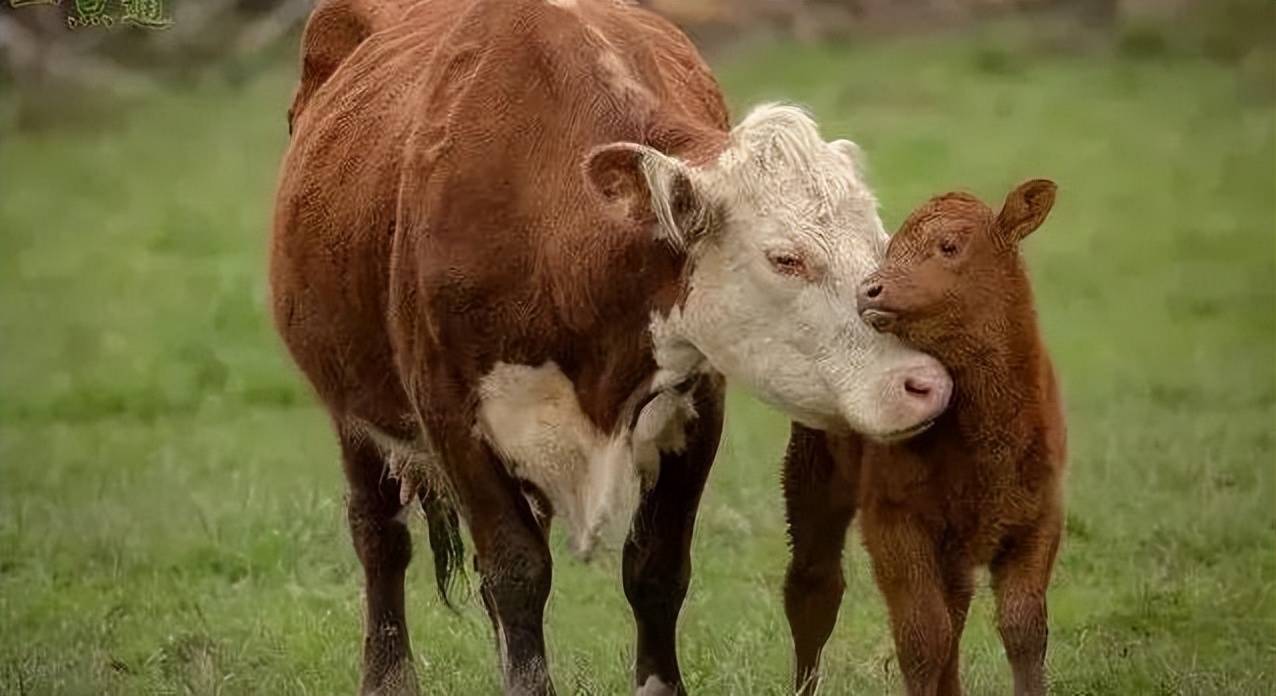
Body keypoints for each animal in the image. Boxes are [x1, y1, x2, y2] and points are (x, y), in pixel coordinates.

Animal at [271, 1, 949, 694]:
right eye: (785, 258)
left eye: (879, 241)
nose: (924, 383)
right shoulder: (449, 415)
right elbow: (515, 569)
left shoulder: (697, 404)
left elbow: (655, 568)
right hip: (352, 409)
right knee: (379, 534)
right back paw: (387, 673)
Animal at [775, 180, 1066, 694]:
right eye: (890, 249)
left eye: (949, 246)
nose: (869, 289)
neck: (989, 441)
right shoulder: (895, 521)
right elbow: (923, 636)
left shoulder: (1040, 517)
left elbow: (1024, 626)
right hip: (812, 471)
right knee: (814, 587)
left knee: (957, 608)